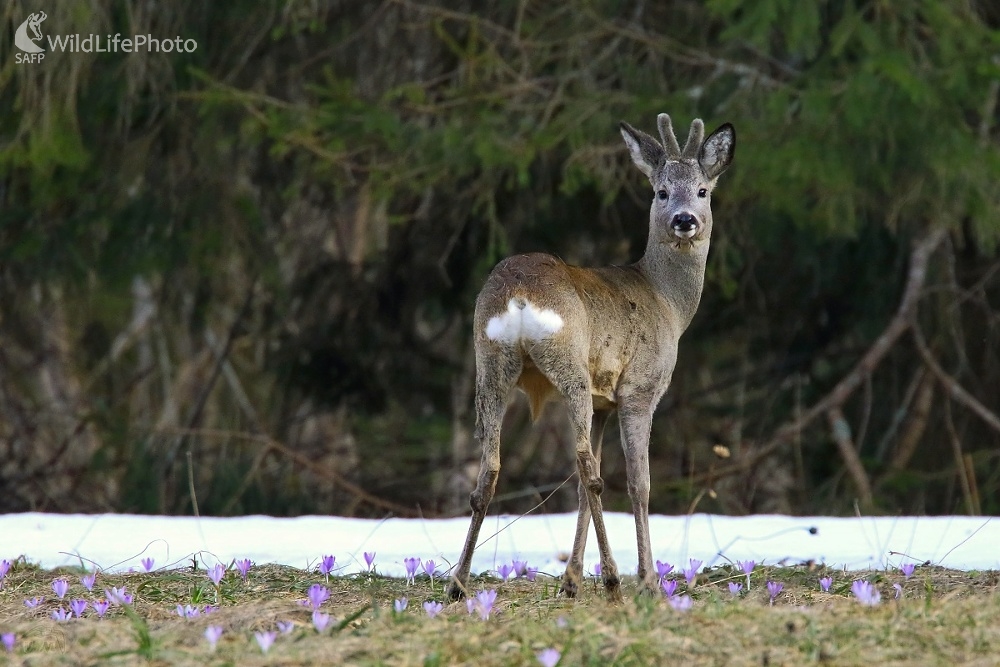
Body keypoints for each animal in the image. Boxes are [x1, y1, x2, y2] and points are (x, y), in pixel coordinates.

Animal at [446, 113, 736, 600]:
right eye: (660, 191)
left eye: (702, 191)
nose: (684, 220)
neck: (668, 302)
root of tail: (518, 296)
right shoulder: (639, 388)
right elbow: (639, 483)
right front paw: (647, 579)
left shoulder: (604, 402)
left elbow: (584, 492)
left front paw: (573, 579)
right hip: (569, 366)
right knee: (586, 466)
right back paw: (617, 579)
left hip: (490, 363)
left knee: (494, 468)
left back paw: (458, 584)